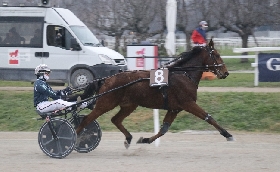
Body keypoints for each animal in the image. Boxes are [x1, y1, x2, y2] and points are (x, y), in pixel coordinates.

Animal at [75, 39, 233, 149]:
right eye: (216, 55)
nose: (225, 72)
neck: (184, 74)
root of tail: (107, 79)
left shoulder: (174, 108)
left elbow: (163, 129)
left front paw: (145, 140)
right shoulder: (188, 103)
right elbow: (209, 117)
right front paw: (228, 134)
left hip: (129, 105)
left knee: (116, 120)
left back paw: (129, 138)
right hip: (106, 102)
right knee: (87, 119)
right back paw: (75, 138)